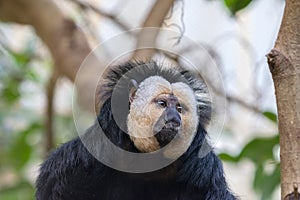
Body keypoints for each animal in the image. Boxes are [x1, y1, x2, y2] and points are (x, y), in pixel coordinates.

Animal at [35, 61, 237, 199]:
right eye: (162, 104)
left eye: (179, 108)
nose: (174, 118)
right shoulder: (94, 150)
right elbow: (53, 184)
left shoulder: (204, 167)